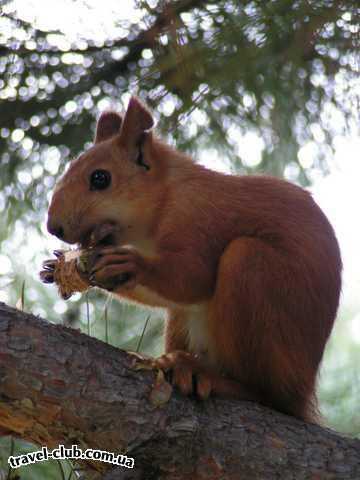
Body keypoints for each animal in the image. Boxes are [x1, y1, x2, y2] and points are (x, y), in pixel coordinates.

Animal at [46, 95, 342, 422]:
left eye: (100, 178)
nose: (53, 227)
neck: (167, 197)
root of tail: (303, 394)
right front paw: (57, 267)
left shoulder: (199, 221)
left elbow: (192, 278)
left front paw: (130, 265)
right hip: (182, 321)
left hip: (254, 273)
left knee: (268, 394)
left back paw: (214, 378)